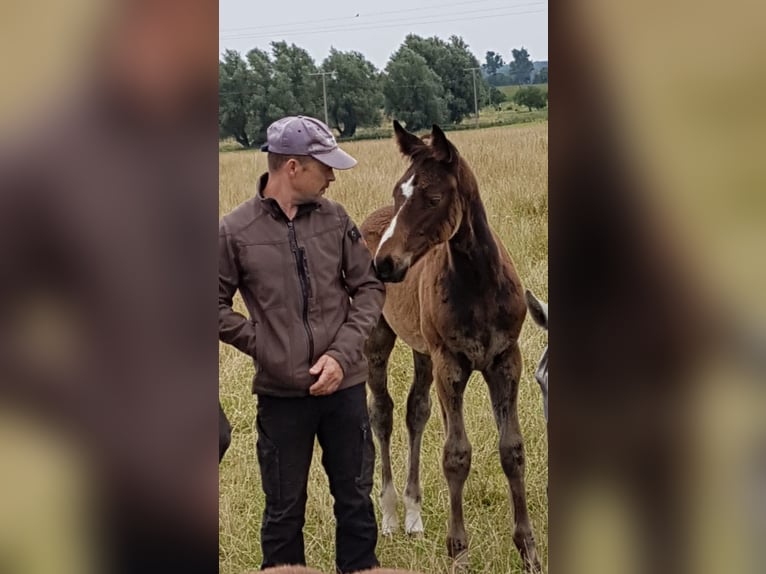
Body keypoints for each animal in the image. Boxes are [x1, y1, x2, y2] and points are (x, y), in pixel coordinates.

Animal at [360, 121, 540, 572]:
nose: (384, 263)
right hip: (379, 340)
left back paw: (414, 516)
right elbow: (456, 455)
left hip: (423, 353)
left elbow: (512, 449)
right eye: (398, 192)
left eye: (433, 197)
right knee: (382, 413)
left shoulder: (505, 360)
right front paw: (459, 552)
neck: (478, 284)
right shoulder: (451, 365)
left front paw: (528, 549)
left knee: (416, 411)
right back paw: (390, 516)